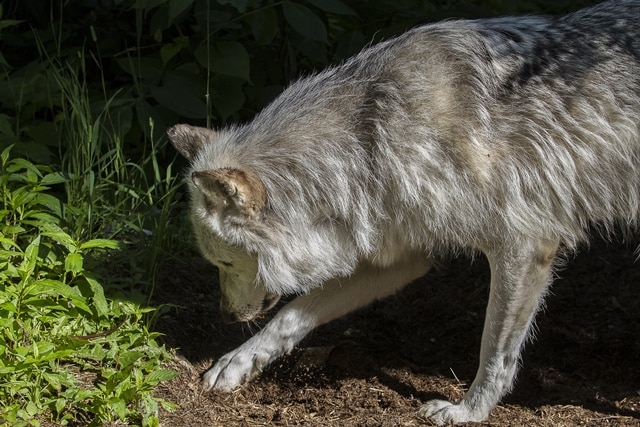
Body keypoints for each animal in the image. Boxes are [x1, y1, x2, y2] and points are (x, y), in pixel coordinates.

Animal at [166, 1, 640, 424]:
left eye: (225, 263)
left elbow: (495, 351)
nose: (225, 316)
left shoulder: (525, 247)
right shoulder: (404, 258)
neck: (371, 142)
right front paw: (238, 362)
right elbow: (291, 315)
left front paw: (468, 411)